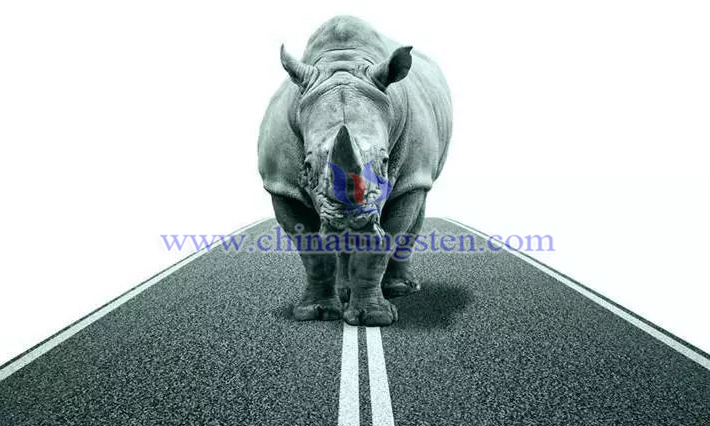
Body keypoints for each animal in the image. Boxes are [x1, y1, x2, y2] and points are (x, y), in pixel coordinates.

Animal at [258, 16, 452, 326]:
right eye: (307, 166)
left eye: (385, 161)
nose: (350, 222)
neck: (343, 61)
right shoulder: (281, 185)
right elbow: (313, 252)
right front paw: (316, 313)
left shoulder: (410, 177)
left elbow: (382, 243)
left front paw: (372, 317)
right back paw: (344, 291)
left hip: (420, 174)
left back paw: (400, 289)